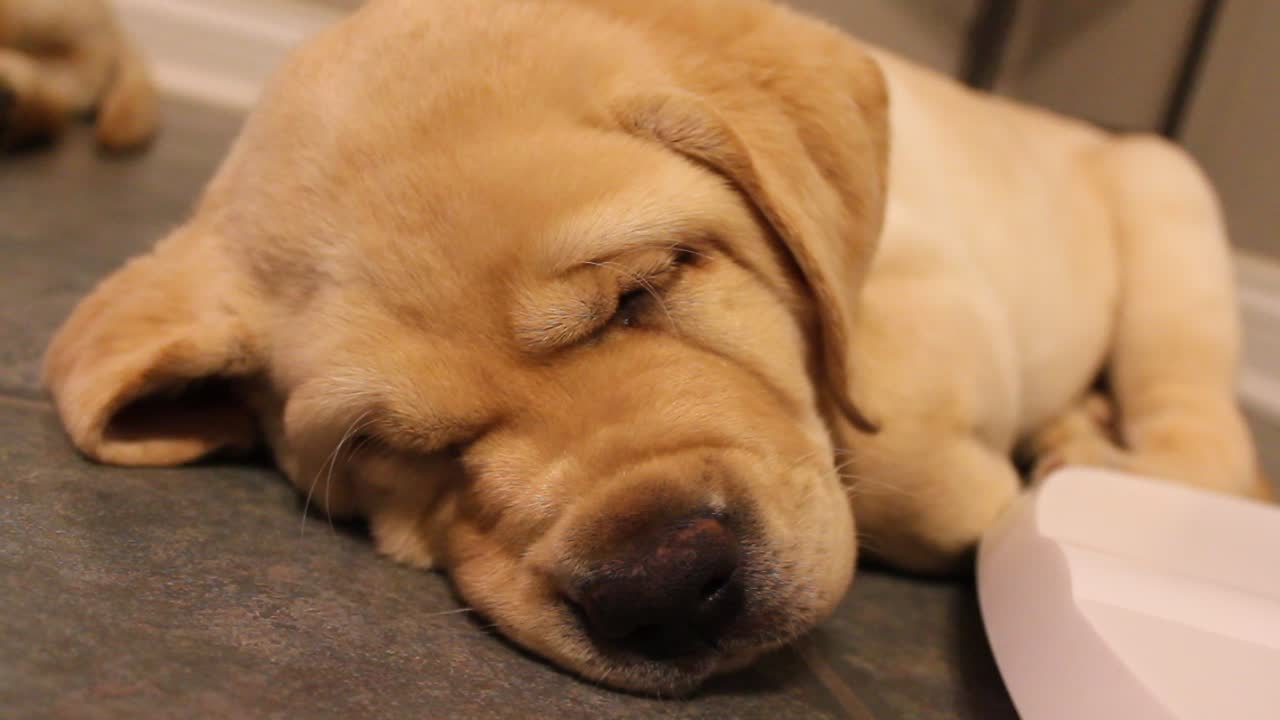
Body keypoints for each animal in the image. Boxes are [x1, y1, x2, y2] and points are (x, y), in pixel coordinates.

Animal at [40, 0, 1269, 691]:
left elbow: (884, 435)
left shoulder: (925, 274)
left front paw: (997, 499)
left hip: (1170, 219)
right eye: (395, 448)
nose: (665, 591)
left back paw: (1092, 453)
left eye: (644, 288)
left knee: (1205, 445)